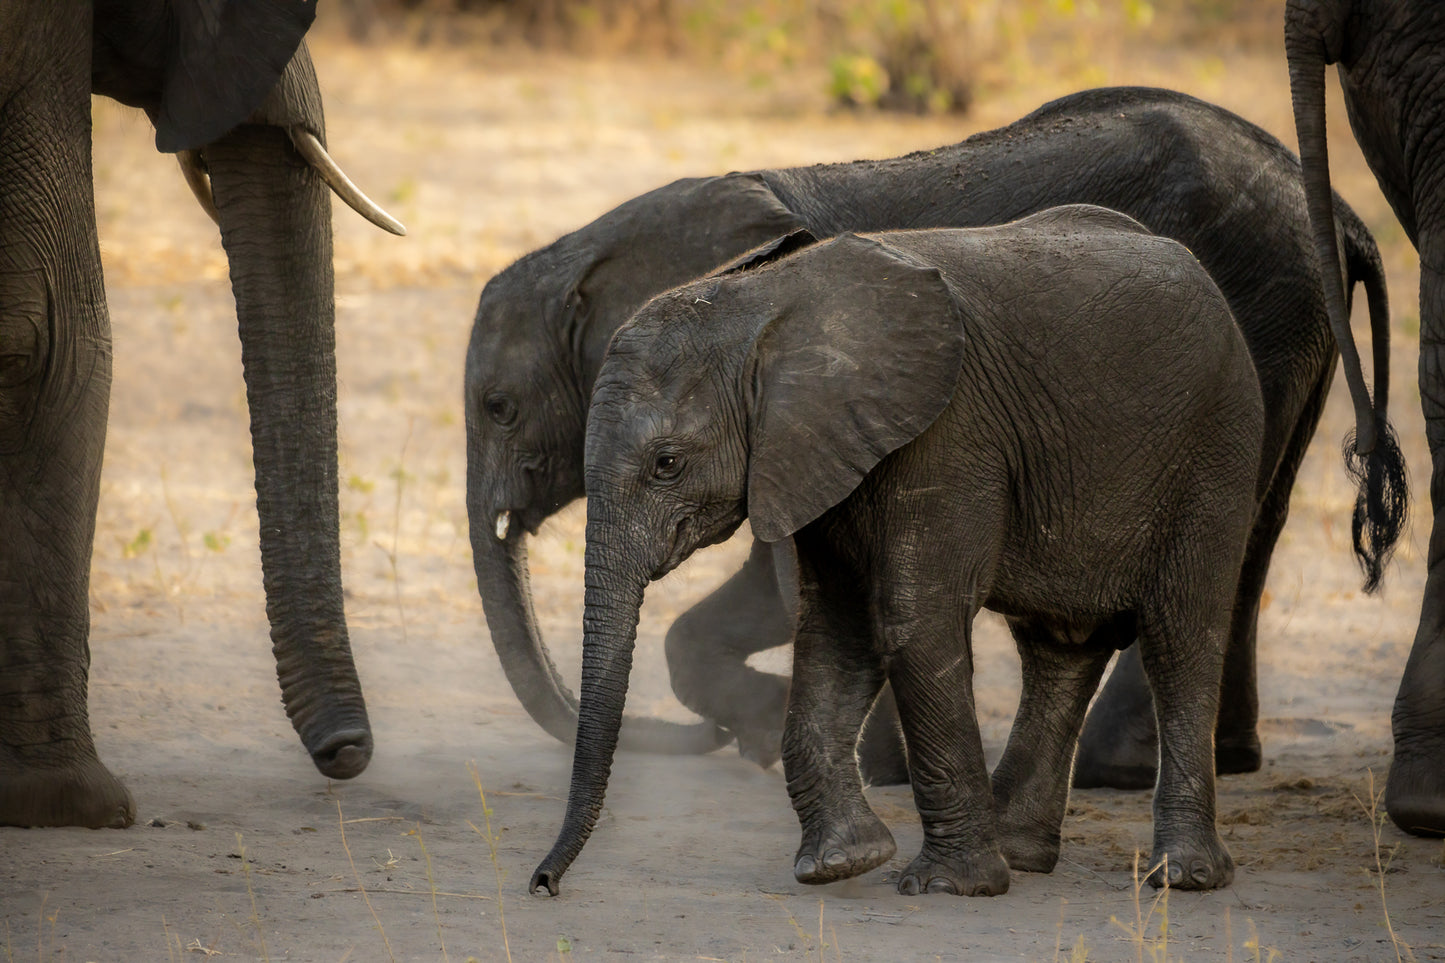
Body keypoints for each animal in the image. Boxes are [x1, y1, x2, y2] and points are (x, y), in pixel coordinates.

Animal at [468, 86, 1404, 786]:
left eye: (498, 406)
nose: (697, 745)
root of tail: (1345, 221)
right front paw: (770, 736)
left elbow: (796, 586)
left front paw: (845, 759)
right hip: (1284, 330)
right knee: (1253, 525)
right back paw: (1221, 757)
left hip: (1246, 313)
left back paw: (1117, 768)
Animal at [534, 203, 1265, 902]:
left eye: (666, 464)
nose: (544, 883)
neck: (764, 302)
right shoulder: (818, 454)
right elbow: (836, 626)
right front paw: (842, 863)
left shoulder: (946, 434)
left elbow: (912, 621)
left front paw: (949, 886)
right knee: (1059, 647)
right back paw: (1023, 855)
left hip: (1217, 447)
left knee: (1180, 636)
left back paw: (1180, 875)